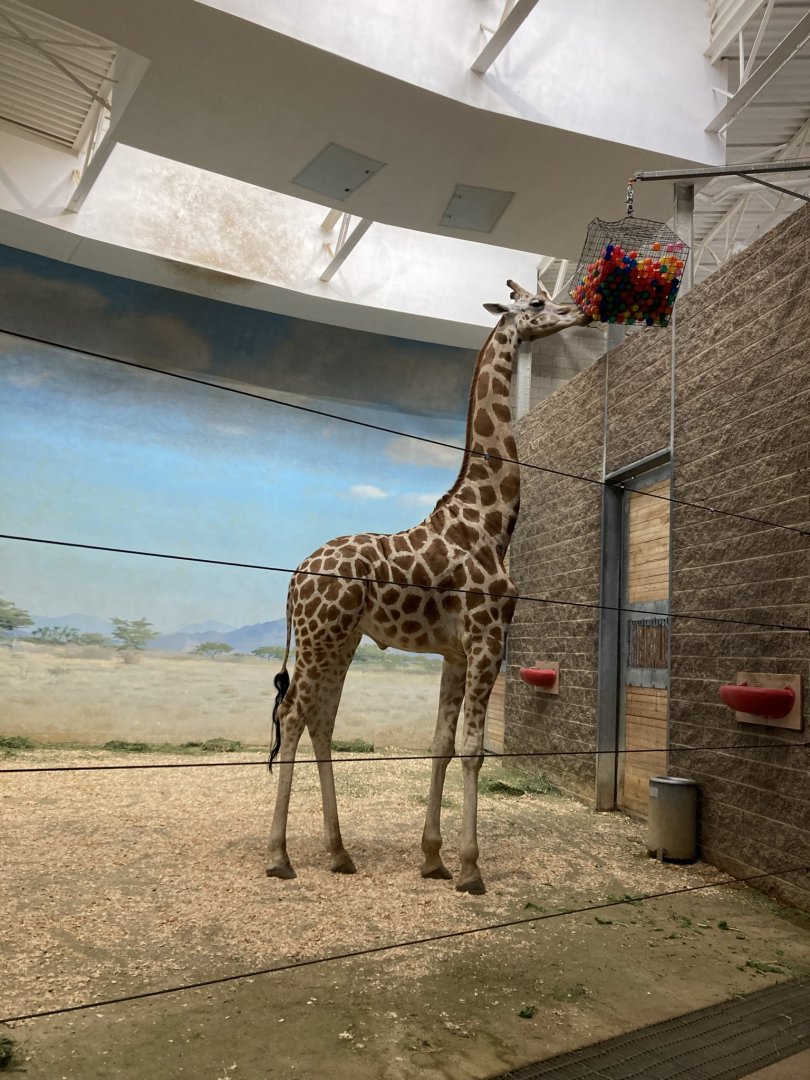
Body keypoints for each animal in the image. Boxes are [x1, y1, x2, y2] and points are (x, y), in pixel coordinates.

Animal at [267, 280, 589, 894]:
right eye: (537, 303)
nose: (580, 310)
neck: (491, 521)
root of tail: (293, 580)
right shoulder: (488, 638)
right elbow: (472, 750)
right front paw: (470, 869)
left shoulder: (456, 652)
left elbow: (440, 745)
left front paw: (433, 859)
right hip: (321, 640)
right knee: (293, 716)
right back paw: (279, 856)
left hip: (341, 642)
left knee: (321, 720)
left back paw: (339, 853)